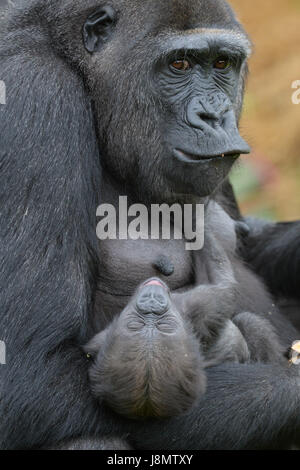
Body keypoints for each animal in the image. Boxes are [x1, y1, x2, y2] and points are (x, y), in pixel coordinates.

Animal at [0, 0, 300, 450]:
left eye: (222, 63)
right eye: (179, 64)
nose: (215, 115)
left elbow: (251, 245)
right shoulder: (32, 93)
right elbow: (31, 373)